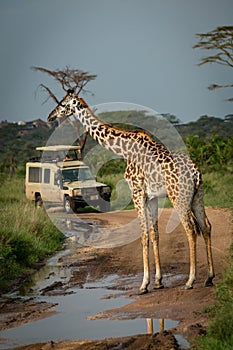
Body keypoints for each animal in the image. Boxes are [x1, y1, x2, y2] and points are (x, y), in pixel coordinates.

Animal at [46, 89, 215, 292]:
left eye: (63, 104)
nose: (50, 116)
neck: (124, 150)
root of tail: (195, 172)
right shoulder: (152, 197)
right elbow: (154, 234)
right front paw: (158, 281)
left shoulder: (137, 192)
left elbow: (143, 236)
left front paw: (144, 284)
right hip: (198, 195)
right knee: (206, 226)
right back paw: (209, 277)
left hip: (178, 196)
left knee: (191, 229)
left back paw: (190, 281)